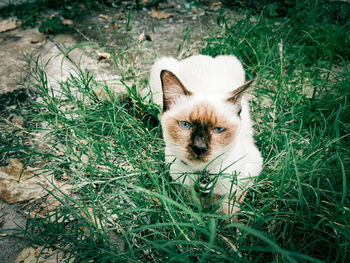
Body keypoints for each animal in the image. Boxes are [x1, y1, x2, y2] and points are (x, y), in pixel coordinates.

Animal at [148, 54, 262, 217]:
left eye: (218, 129)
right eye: (185, 125)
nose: (199, 148)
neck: (203, 174)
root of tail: (198, 56)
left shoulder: (249, 174)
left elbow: (228, 207)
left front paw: (223, 220)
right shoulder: (179, 180)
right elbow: (192, 204)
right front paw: (202, 214)